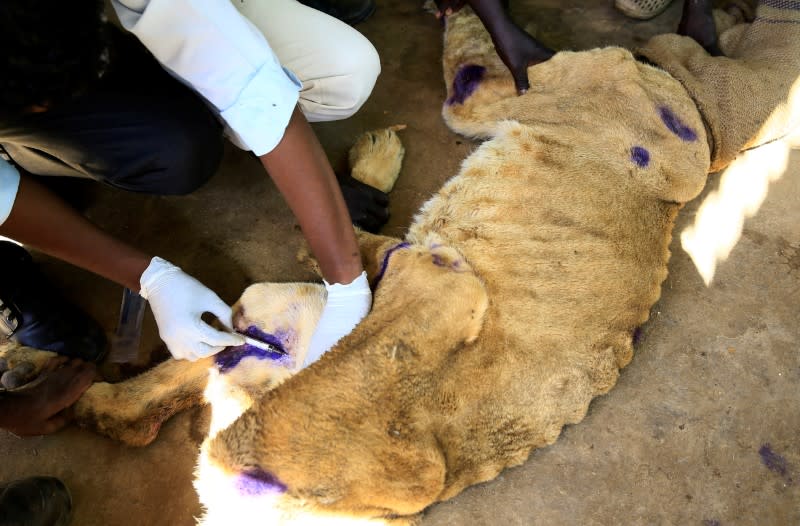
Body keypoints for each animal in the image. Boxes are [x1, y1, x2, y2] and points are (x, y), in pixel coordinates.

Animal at [3, 2, 796, 524]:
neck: (700, 104)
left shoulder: (501, 95)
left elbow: (481, 50)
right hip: (277, 323)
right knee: (200, 361)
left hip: (358, 394)